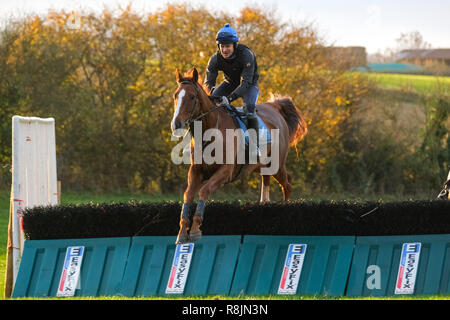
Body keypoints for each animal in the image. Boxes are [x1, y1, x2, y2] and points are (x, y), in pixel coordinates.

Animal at [171, 67, 308, 242]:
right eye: (176, 95)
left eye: (192, 96)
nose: (176, 124)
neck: (210, 131)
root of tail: (275, 107)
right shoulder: (196, 170)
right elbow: (187, 195)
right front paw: (182, 233)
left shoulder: (226, 171)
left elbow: (204, 191)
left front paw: (195, 230)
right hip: (263, 166)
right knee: (266, 182)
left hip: (276, 164)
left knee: (288, 184)